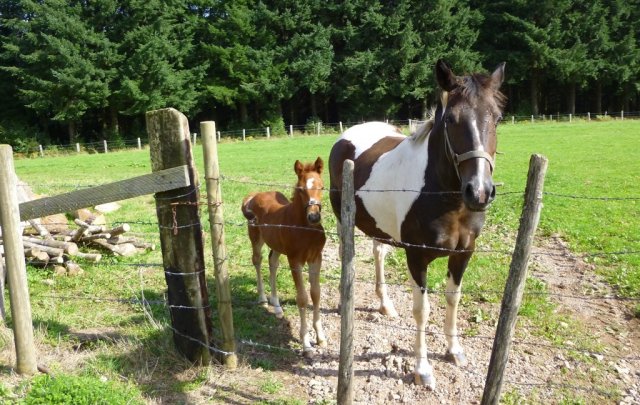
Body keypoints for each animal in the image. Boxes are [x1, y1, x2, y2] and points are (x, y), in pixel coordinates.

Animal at [242, 156, 328, 352]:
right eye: (301, 189)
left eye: (322, 187)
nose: (314, 217)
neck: (305, 229)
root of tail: (255, 195)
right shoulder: (295, 260)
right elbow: (302, 298)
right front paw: (306, 343)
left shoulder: (316, 258)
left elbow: (316, 293)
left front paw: (320, 336)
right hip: (256, 238)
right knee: (257, 261)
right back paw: (263, 298)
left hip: (277, 246)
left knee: (272, 263)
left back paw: (277, 305)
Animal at [330, 60, 504, 388]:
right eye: (451, 119)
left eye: (497, 118)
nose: (479, 192)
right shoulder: (417, 256)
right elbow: (422, 310)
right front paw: (422, 369)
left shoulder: (464, 254)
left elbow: (453, 298)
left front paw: (454, 351)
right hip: (342, 218)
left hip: (379, 226)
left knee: (378, 254)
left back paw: (385, 304)